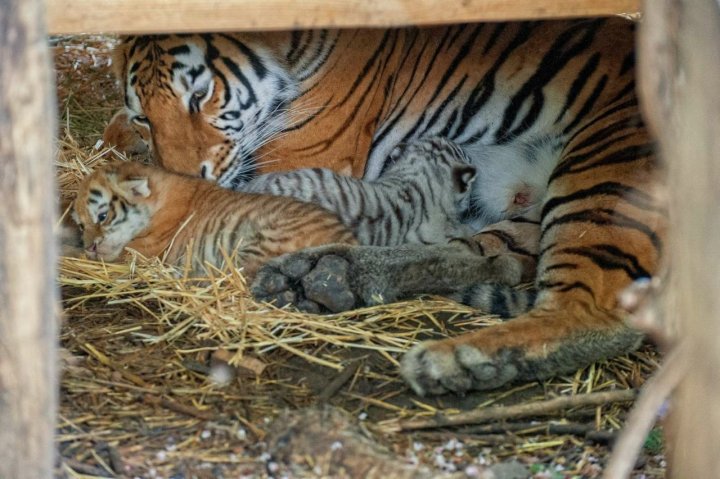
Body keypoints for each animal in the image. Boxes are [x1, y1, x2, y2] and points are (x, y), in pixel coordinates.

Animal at [109, 18, 668, 396]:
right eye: (144, 116)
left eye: (201, 95)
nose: (184, 175)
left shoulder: (305, 155)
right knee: (483, 260)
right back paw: (323, 277)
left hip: (604, 172)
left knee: (597, 313)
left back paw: (453, 360)